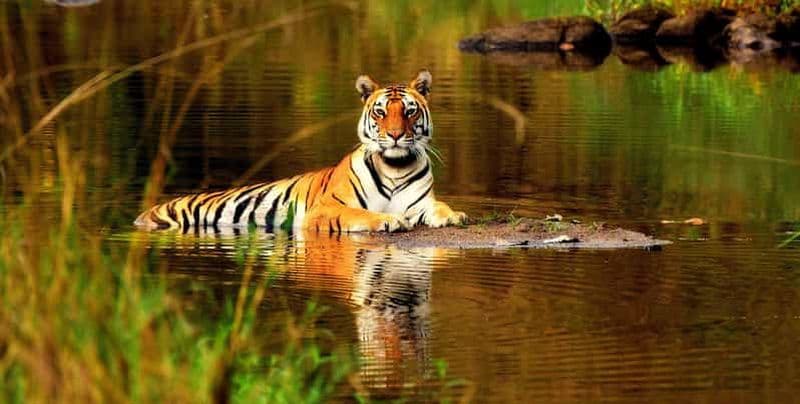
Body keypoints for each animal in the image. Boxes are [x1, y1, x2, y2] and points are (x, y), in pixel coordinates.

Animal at [134, 70, 467, 233]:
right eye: (381, 112)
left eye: (409, 111)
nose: (396, 135)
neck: (395, 167)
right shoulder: (326, 209)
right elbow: (360, 214)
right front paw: (388, 220)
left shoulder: (421, 202)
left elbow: (439, 206)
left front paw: (455, 215)